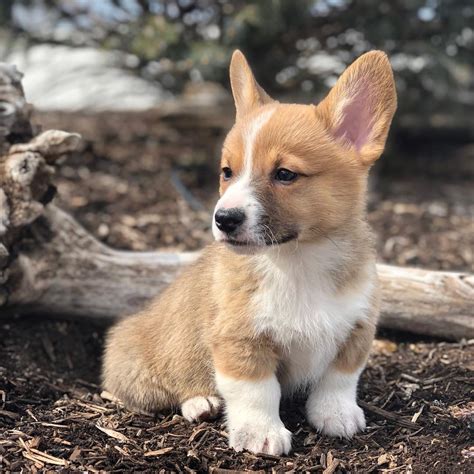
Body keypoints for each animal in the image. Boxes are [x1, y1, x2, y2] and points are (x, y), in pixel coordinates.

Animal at [103, 49, 396, 456]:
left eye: (285, 174)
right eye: (227, 171)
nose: (223, 219)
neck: (297, 261)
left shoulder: (356, 329)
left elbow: (338, 379)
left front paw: (337, 415)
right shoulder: (240, 341)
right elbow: (258, 391)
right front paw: (261, 433)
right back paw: (200, 402)